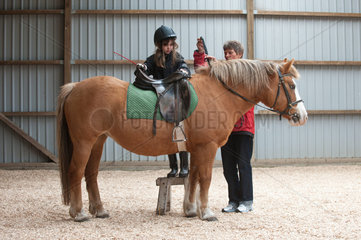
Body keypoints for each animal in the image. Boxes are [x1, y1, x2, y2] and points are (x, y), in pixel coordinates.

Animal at [56, 57, 306, 221]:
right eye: (291, 85)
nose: (301, 116)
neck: (218, 94)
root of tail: (75, 87)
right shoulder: (207, 147)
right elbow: (205, 178)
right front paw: (206, 212)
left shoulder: (195, 149)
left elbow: (192, 178)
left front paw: (191, 209)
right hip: (84, 143)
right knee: (76, 172)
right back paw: (78, 213)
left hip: (98, 141)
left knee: (91, 174)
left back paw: (99, 210)